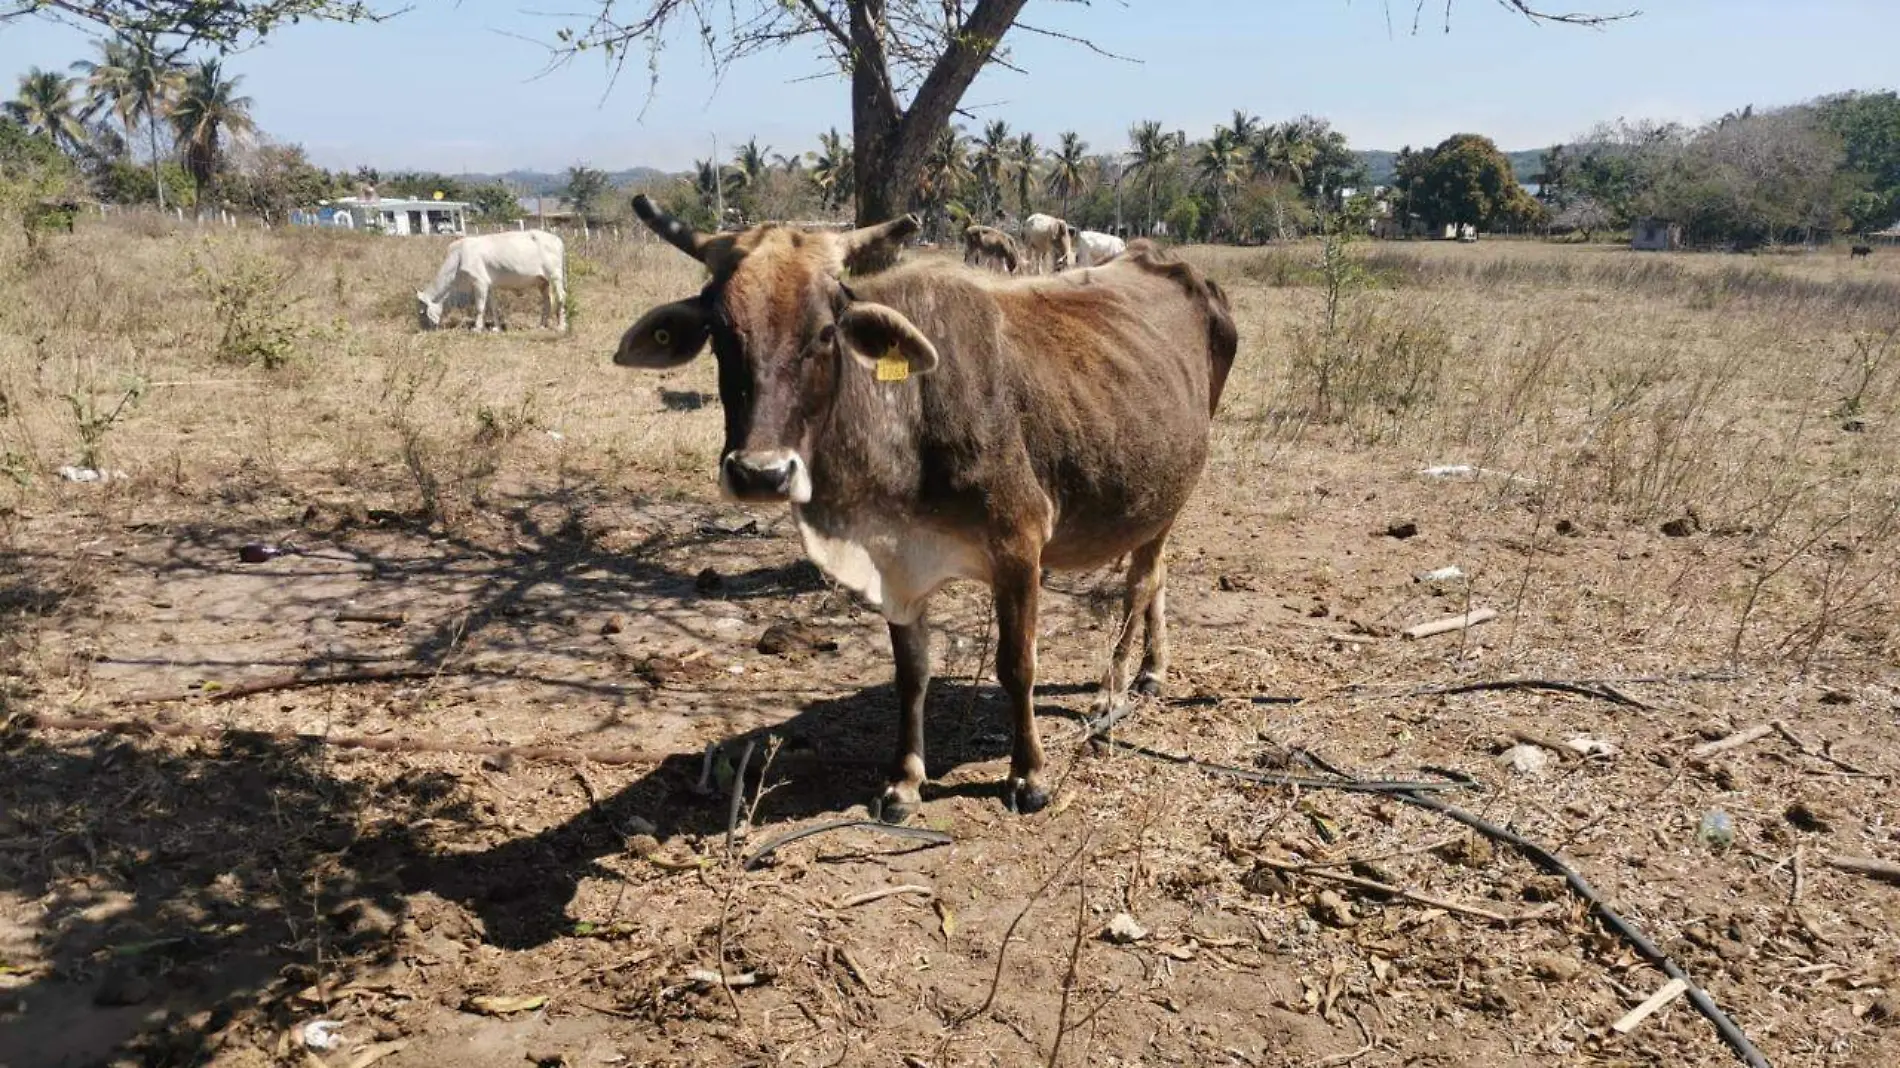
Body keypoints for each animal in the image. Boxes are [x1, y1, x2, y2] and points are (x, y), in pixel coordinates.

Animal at [416, 229, 562, 330]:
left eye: (422, 312)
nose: (423, 328)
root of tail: (556, 239)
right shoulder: (489, 285)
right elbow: (493, 307)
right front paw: (496, 328)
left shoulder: (479, 282)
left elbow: (480, 307)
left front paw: (477, 328)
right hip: (543, 282)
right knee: (547, 301)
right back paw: (541, 325)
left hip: (555, 276)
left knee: (560, 298)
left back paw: (561, 326)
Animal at [615, 195, 1238, 813]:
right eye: (719, 333)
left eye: (825, 332)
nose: (760, 473)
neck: (906, 411)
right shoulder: (897, 564)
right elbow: (911, 672)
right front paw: (906, 778)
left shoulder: (1019, 545)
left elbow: (1017, 665)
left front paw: (1028, 776)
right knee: (1156, 576)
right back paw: (1152, 671)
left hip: (1170, 488)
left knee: (1140, 584)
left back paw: (1112, 690)